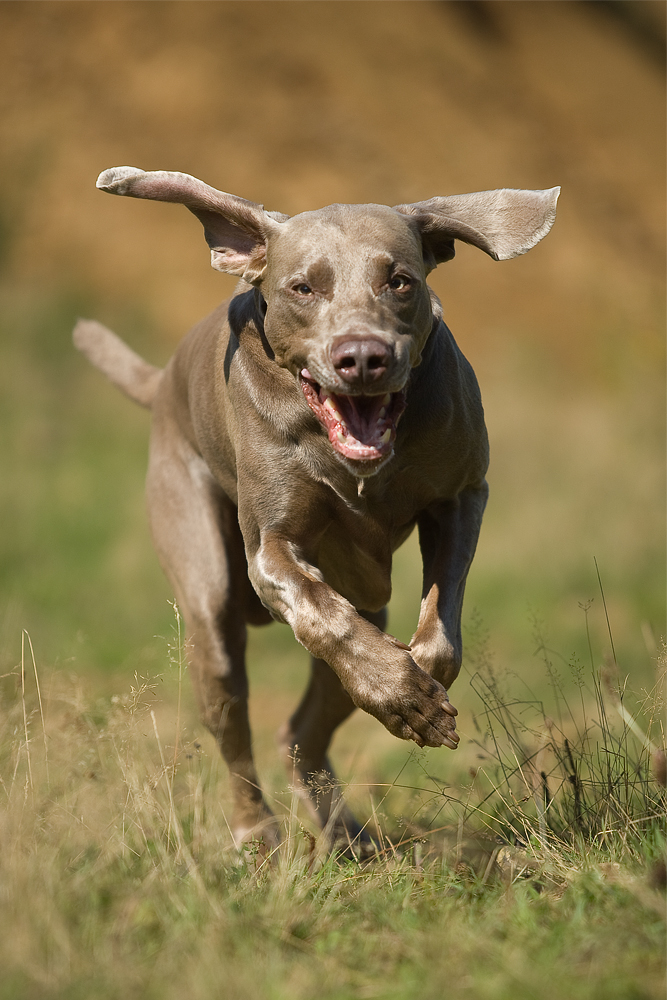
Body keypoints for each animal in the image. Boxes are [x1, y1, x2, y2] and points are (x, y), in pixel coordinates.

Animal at [73, 166, 560, 852]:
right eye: (303, 287)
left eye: (399, 279)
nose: (362, 357)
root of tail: (164, 378)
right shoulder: (271, 549)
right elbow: (323, 616)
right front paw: (407, 696)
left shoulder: (463, 495)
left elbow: (438, 632)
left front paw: (415, 688)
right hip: (205, 591)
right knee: (235, 715)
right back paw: (255, 834)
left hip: (366, 605)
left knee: (302, 726)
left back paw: (342, 833)